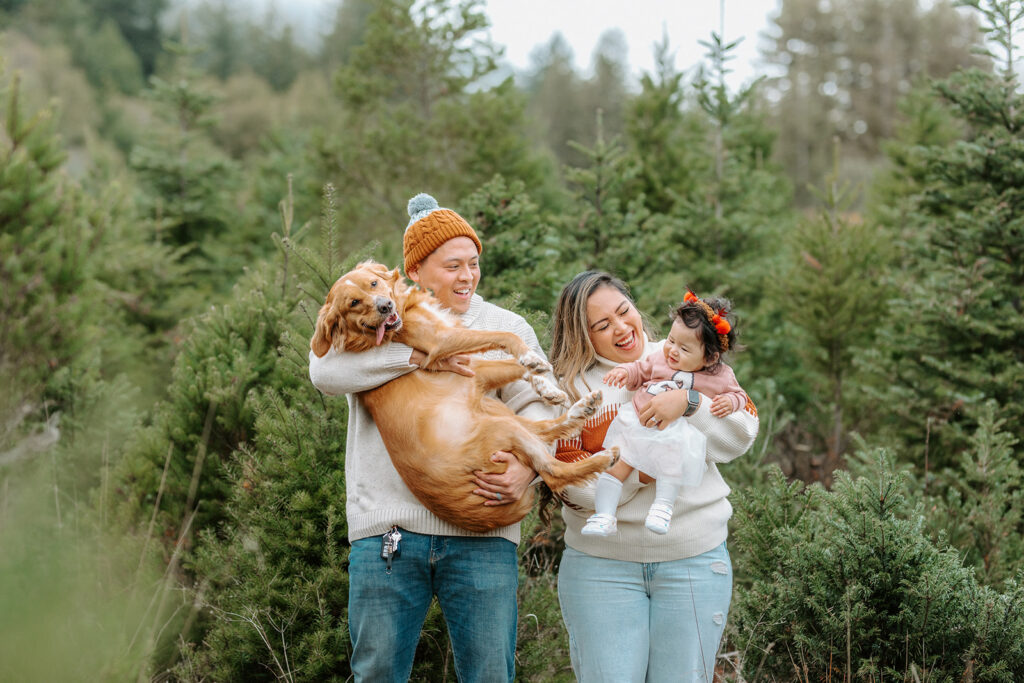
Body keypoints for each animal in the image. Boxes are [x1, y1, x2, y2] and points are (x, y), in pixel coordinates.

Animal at [309, 259, 614, 532]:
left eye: (373, 283)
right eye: (353, 303)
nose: (385, 306)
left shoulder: (473, 369)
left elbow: (518, 366)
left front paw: (545, 383)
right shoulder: (446, 344)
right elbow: (507, 338)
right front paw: (531, 358)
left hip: (495, 410)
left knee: (545, 431)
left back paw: (582, 409)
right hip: (500, 428)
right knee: (552, 470)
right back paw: (604, 458)